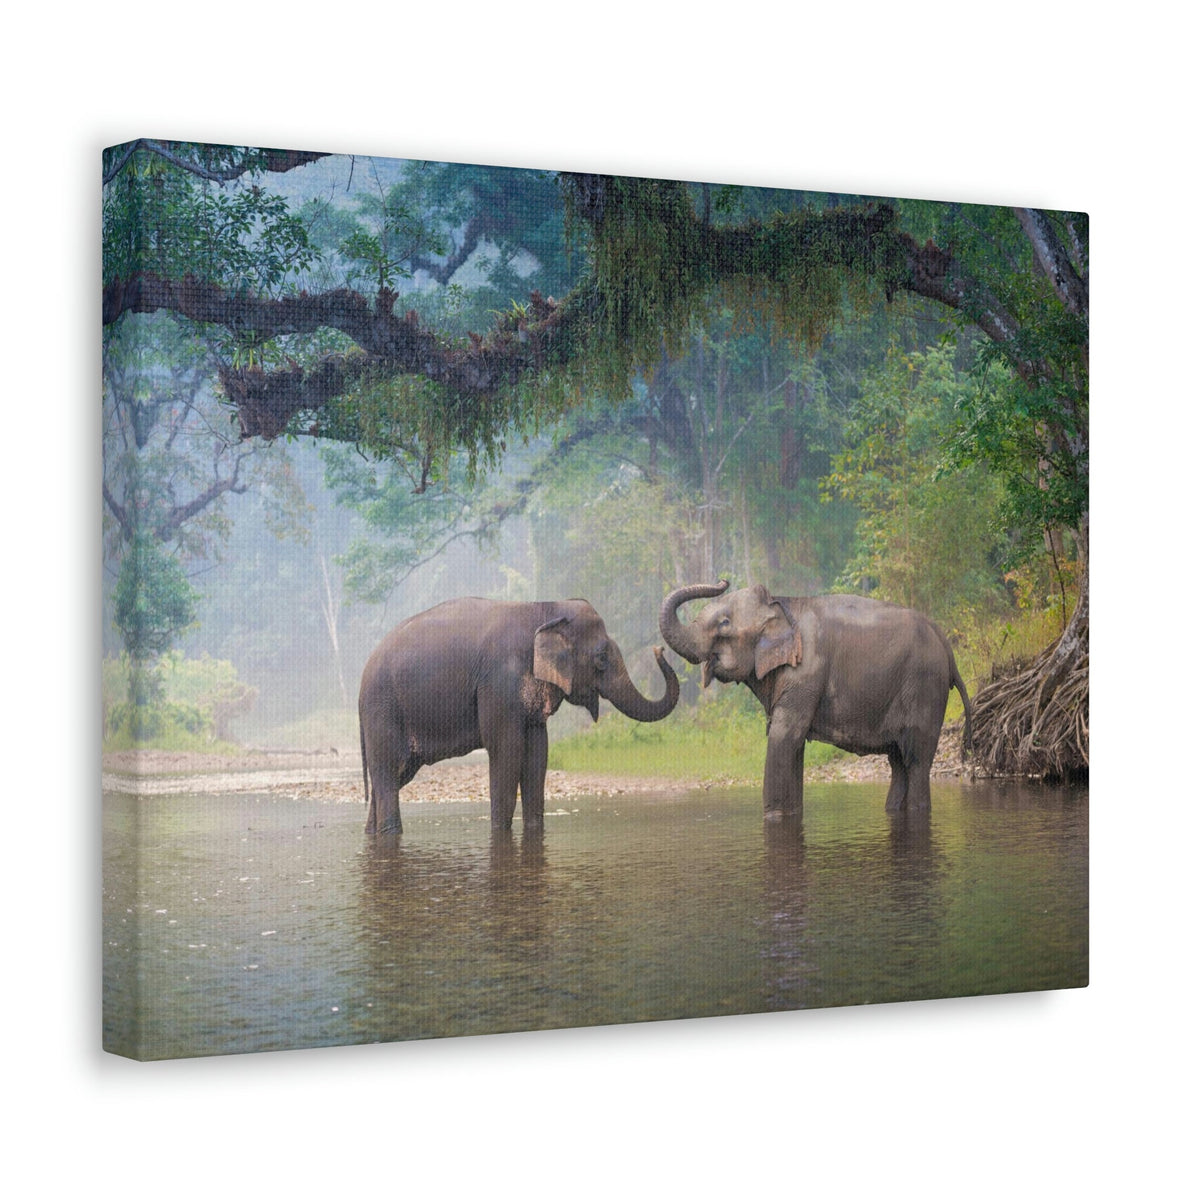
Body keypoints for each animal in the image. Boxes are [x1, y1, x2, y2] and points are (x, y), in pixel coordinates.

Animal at [358, 597, 680, 834]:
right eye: (601, 658)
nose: (659, 649)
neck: (543, 608)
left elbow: (538, 752)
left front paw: (534, 830)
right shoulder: (499, 682)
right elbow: (507, 750)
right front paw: (500, 833)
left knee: (394, 777)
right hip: (383, 709)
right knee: (388, 773)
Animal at [659, 580, 971, 816]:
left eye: (724, 623)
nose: (723, 581)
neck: (781, 604)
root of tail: (947, 646)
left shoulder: (806, 672)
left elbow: (784, 737)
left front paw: (773, 817)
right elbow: (792, 747)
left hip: (925, 687)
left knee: (916, 760)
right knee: (898, 762)